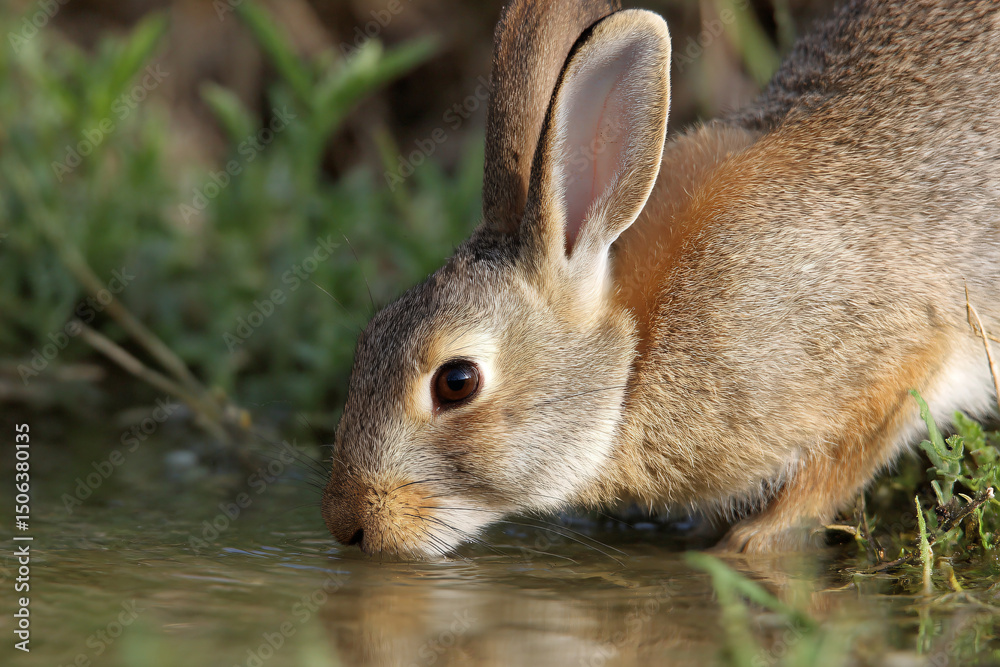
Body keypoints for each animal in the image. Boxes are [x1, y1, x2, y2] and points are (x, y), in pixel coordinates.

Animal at [321, 0, 1000, 557]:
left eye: (457, 382)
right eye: (367, 336)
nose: (348, 524)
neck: (636, 357)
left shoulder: (894, 358)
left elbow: (836, 467)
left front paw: (744, 548)